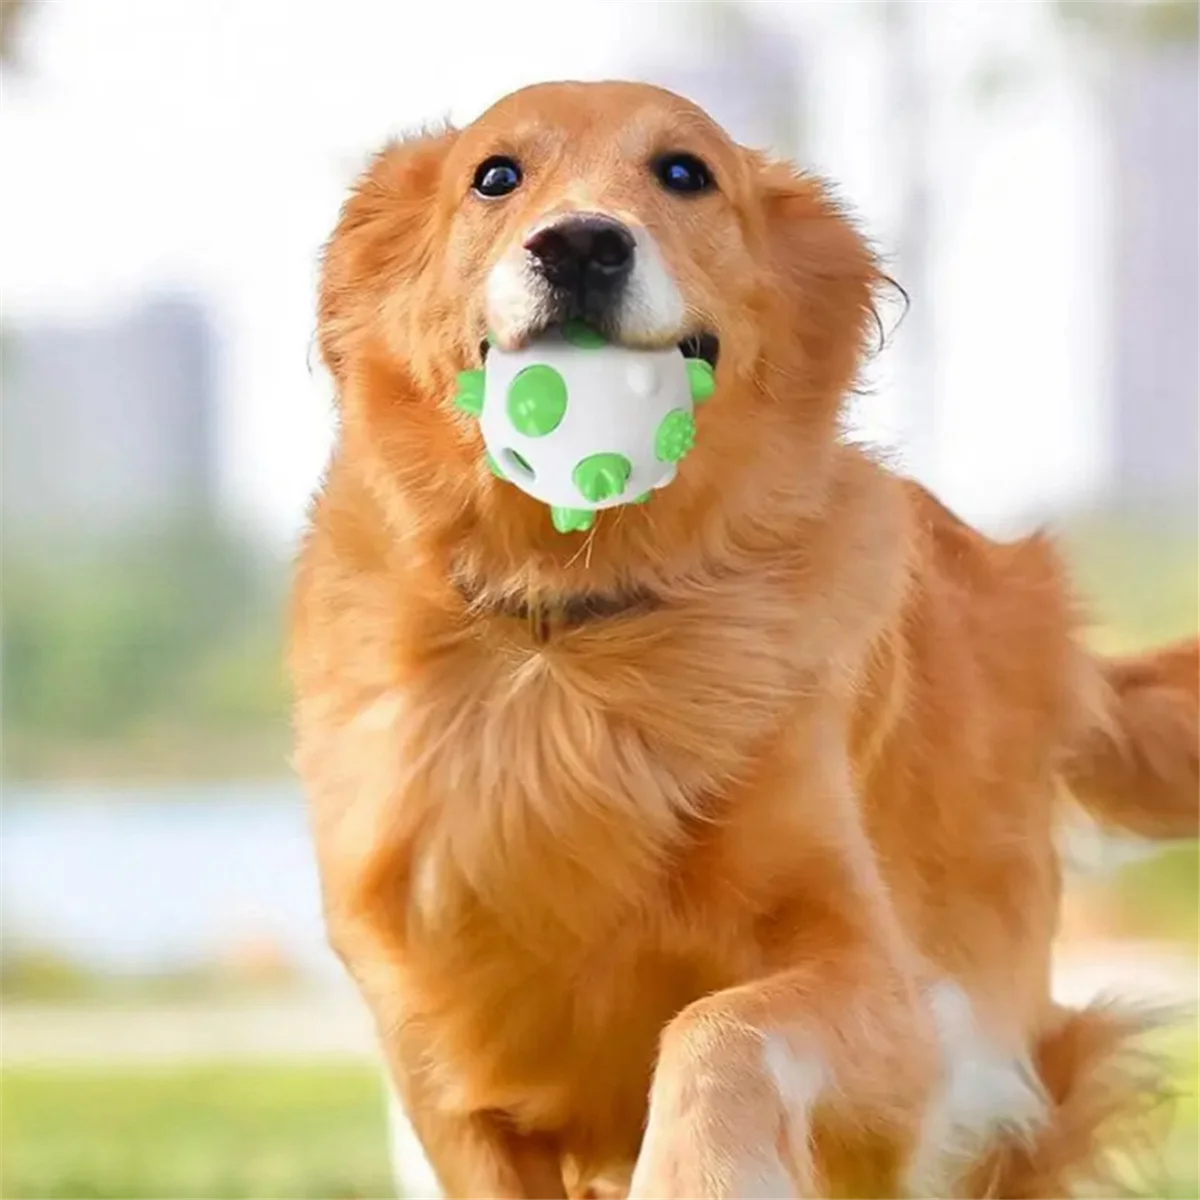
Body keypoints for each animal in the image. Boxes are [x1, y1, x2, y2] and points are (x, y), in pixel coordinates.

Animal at [290, 79, 1200, 1195]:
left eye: (685, 172)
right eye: (494, 175)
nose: (581, 244)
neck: (574, 632)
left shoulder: (888, 994)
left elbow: (719, 1027)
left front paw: (695, 1169)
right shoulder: (442, 1061)